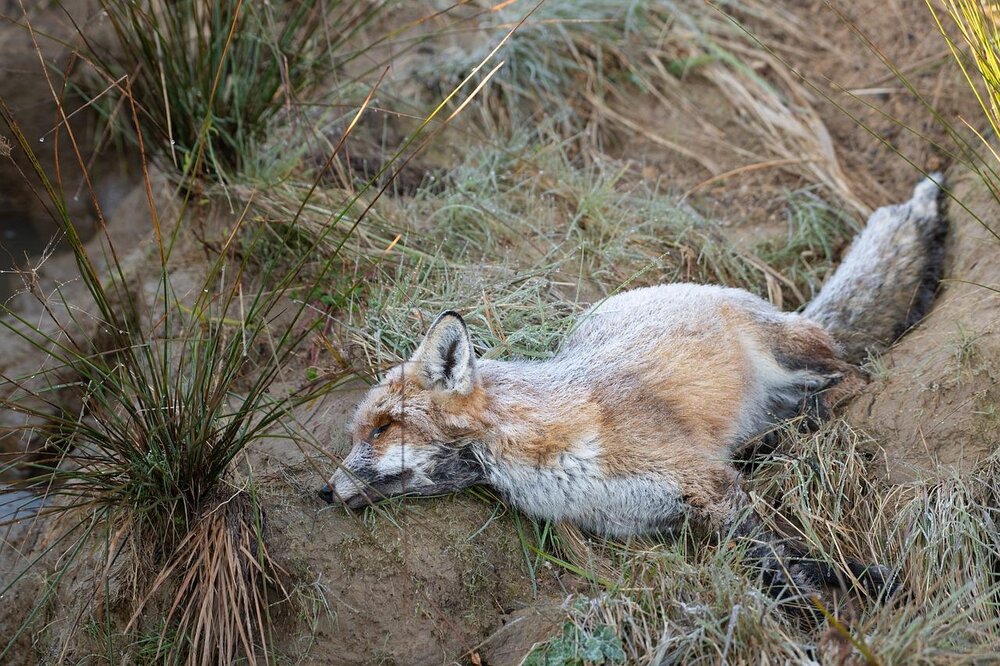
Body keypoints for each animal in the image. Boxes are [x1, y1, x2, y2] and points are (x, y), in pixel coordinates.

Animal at [319, 175, 947, 602]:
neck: (550, 460)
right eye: (357, 434)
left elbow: (775, 560)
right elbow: (770, 559)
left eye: (382, 428)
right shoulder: (658, 519)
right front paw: (833, 588)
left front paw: (836, 595)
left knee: (855, 376)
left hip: (790, 354)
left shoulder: (709, 484)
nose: (322, 492)